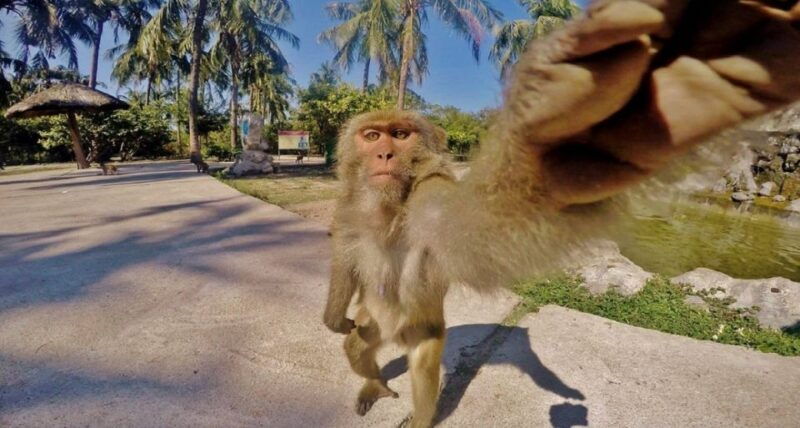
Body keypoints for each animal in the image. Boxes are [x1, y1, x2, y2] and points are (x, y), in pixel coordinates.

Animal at [323, 1, 800, 427]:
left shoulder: (429, 197)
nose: (384, 153)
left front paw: (559, 153)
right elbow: (345, 262)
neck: (387, 205)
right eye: (372, 136)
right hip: (377, 325)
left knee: (422, 370)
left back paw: (415, 410)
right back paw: (373, 382)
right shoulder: (347, 208)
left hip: (421, 330)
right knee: (358, 347)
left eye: (400, 135)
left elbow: (475, 234)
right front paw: (334, 319)